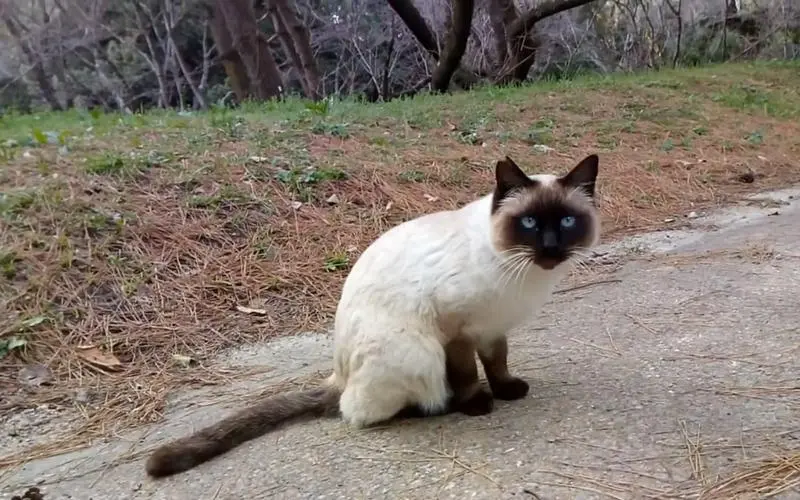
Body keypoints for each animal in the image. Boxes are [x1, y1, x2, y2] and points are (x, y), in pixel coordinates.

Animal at [147, 152, 604, 476]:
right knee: (358, 411)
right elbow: (469, 374)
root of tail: (339, 374)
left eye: (567, 221)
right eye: (529, 223)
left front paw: (508, 389)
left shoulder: (491, 329)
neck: (522, 274)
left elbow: (498, 363)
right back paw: (439, 405)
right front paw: (478, 403)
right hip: (419, 352)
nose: (550, 248)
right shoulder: (457, 330)